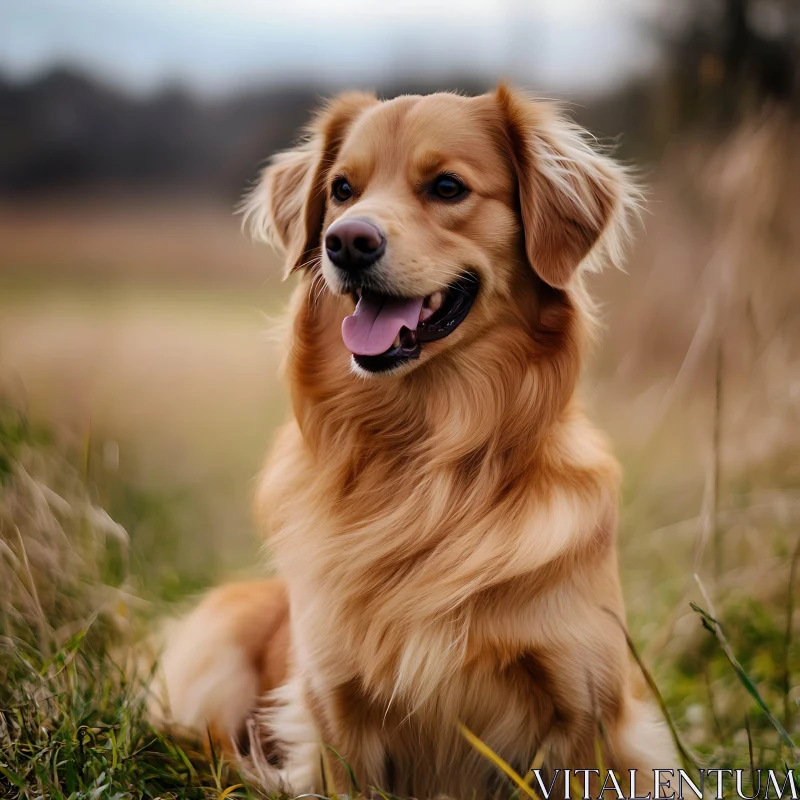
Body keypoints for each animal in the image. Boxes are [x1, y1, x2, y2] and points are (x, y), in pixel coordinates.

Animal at [153, 84, 680, 796]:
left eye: (448, 187)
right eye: (342, 189)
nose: (345, 242)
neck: (426, 455)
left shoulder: (586, 715)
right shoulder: (336, 714)